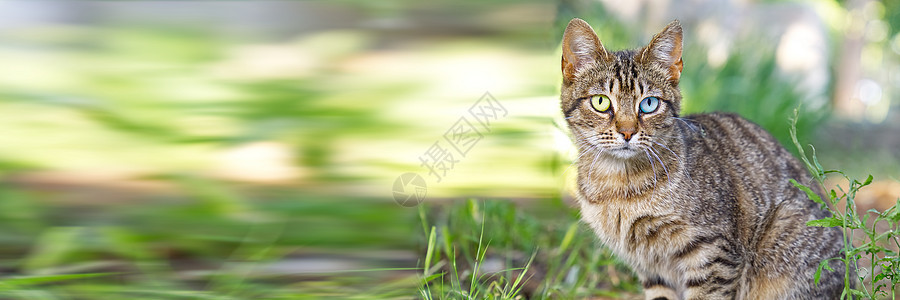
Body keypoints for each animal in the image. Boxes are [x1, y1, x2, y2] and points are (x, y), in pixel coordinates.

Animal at [560, 18, 848, 298]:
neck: (618, 185)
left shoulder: (712, 254)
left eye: (649, 104)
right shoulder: (651, 269)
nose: (628, 132)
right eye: (601, 102)